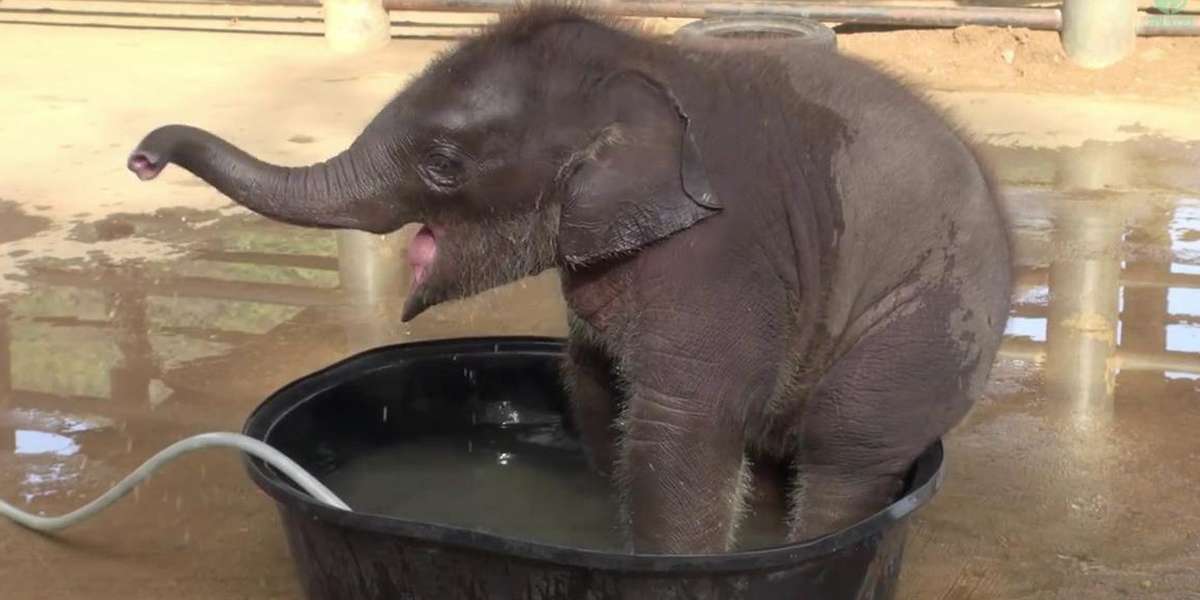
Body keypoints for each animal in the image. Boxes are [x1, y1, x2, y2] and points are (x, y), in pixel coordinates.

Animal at [126, 4, 1012, 554]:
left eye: (443, 166)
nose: (141, 158)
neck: (647, 61)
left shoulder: (725, 256)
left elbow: (679, 426)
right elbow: (588, 380)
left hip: (924, 328)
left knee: (845, 453)